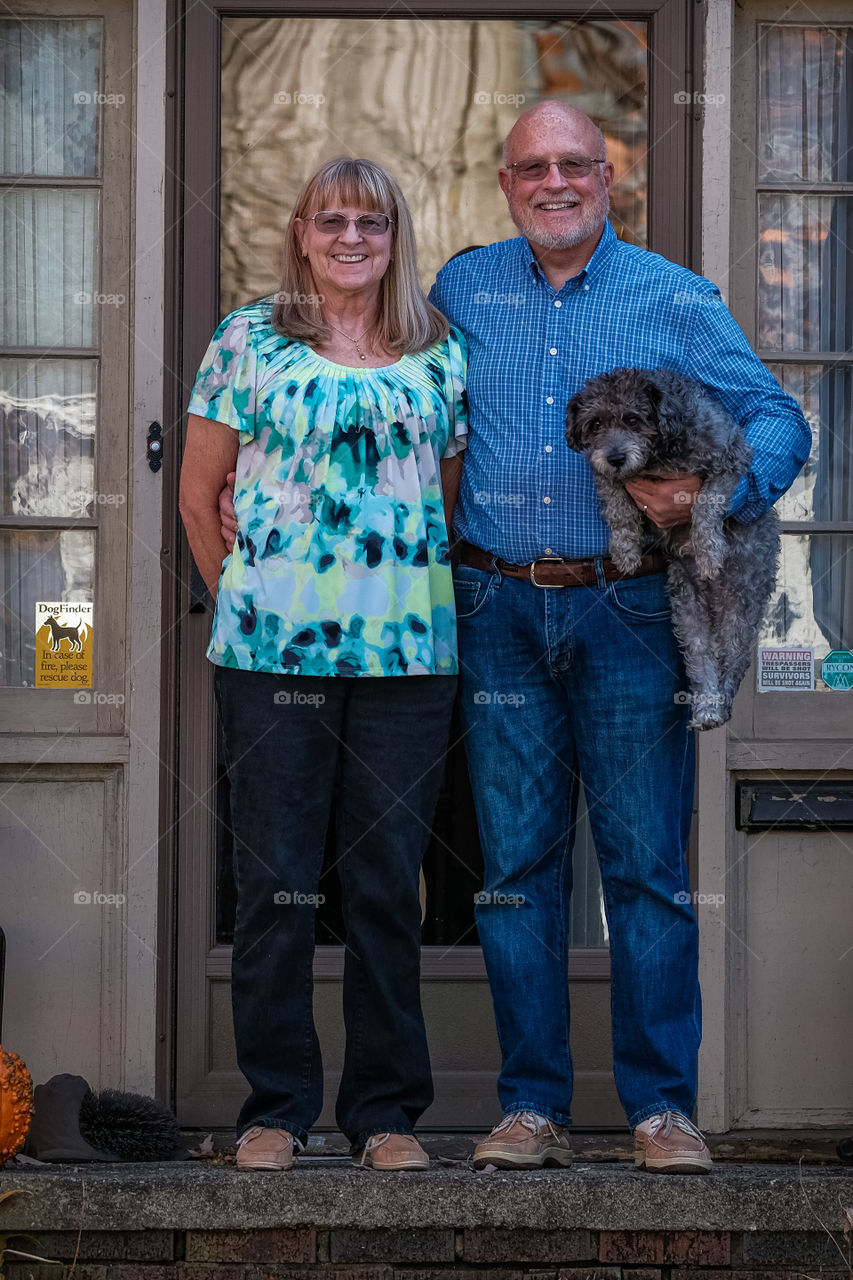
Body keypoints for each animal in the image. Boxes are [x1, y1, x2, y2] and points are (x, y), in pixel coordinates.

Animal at [563, 371, 778, 732]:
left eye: (632, 419)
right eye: (596, 424)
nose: (616, 457)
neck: (659, 453)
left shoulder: (730, 459)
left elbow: (705, 503)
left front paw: (709, 551)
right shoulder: (606, 474)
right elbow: (617, 504)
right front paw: (625, 549)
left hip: (741, 605)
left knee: (732, 662)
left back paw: (719, 704)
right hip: (687, 608)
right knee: (702, 658)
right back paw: (705, 710)